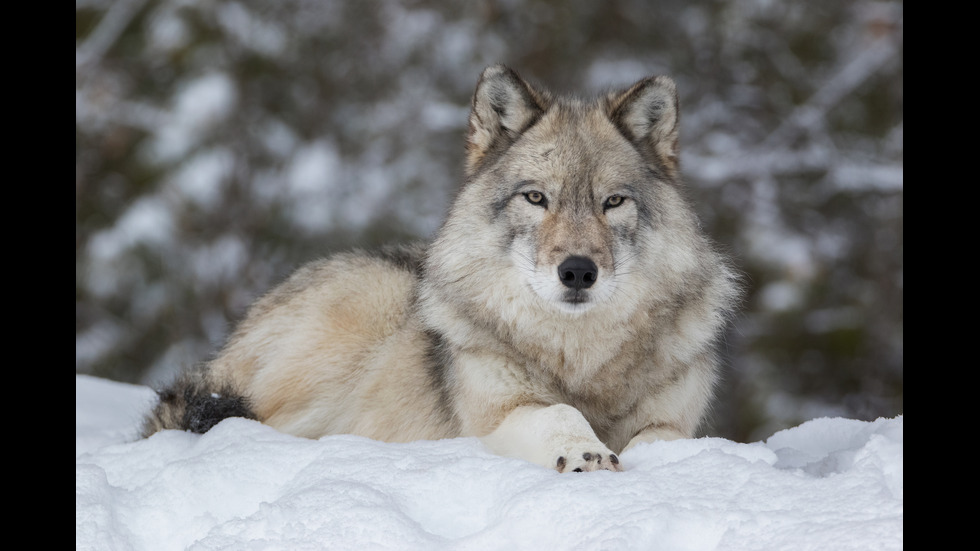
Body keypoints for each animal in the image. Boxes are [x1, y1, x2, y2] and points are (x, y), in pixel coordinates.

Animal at [142, 62, 740, 472]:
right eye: (536, 198)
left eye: (612, 202)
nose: (577, 272)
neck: (581, 360)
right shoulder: (496, 415)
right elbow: (559, 414)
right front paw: (585, 453)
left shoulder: (674, 420)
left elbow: (667, 439)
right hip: (364, 314)